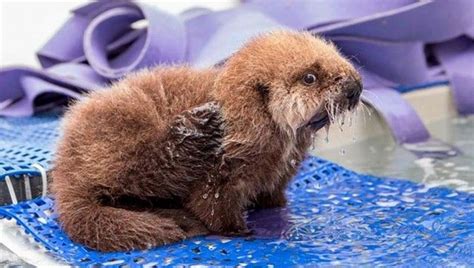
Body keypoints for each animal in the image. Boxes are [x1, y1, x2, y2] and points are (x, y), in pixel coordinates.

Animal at [51, 30, 362, 252]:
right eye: (310, 77)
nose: (355, 86)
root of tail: (65, 174)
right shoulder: (220, 172)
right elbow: (211, 204)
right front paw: (240, 230)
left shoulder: (282, 167)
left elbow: (272, 191)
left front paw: (276, 205)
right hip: (121, 137)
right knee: (151, 165)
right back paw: (196, 128)